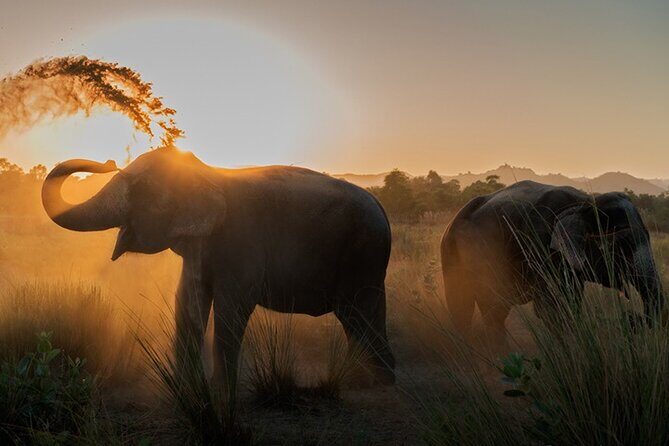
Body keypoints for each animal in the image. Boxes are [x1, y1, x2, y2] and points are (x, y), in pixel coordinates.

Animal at [41, 146, 395, 389]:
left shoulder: (242, 241)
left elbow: (232, 305)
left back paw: (371, 382)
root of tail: (382, 209)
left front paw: (220, 390)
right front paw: (186, 387)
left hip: (364, 254)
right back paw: (364, 379)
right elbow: (186, 300)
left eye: (140, 188)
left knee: (359, 312)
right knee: (358, 316)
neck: (206, 172)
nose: (107, 163)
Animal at [441, 180, 665, 338]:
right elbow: (550, 308)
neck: (584, 203)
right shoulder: (539, 247)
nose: (631, 317)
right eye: (622, 246)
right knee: (474, 307)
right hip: (463, 254)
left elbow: (570, 302)